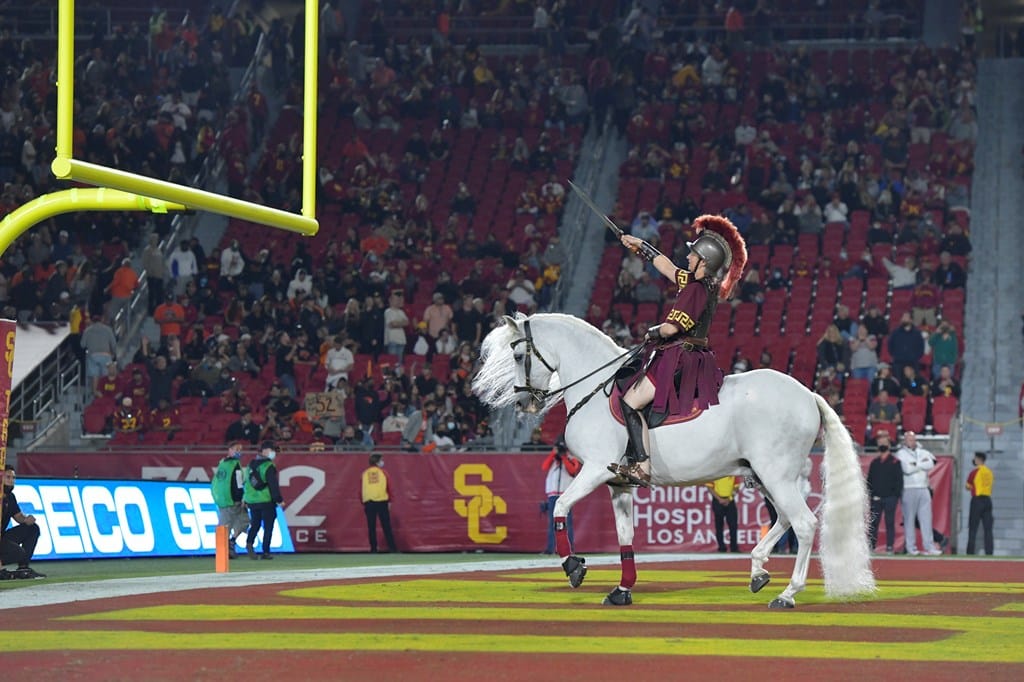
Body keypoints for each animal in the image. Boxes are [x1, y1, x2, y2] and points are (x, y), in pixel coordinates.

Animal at [475, 311, 876, 606]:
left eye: (518, 355)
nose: (524, 403)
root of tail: (809, 394)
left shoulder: (593, 470)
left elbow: (560, 508)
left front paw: (573, 565)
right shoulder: (618, 483)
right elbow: (625, 536)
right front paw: (622, 589)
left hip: (775, 475)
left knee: (804, 524)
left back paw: (787, 593)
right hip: (767, 477)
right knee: (784, 519)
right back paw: (758, 570)